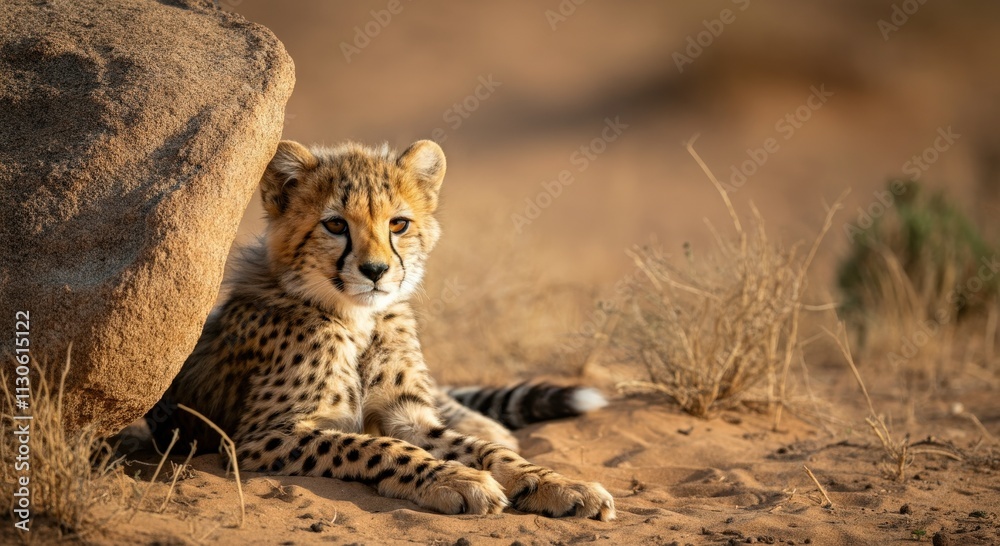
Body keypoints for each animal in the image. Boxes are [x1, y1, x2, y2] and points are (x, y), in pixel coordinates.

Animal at [145, 139, 616, 520]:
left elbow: (483, 451)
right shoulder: (260, 436)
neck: (359, 319)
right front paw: (456, 480)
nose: (375, 271)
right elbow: (376, 446)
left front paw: (559, 484)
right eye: (336, 224)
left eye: (398, 224)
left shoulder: (405, 413)